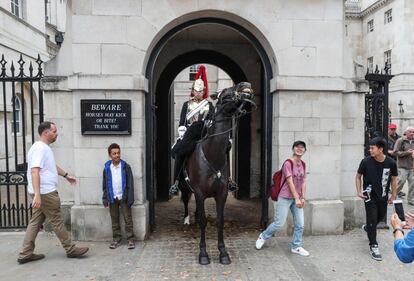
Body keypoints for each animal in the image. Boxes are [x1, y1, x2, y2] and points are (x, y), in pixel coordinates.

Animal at [179, 81, 254, 264]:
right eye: (226, 92)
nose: (245, 84)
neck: (211, 155)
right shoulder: (199, 193)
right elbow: (203, 221)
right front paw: (203, 253)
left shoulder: (222, 193)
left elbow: (220, 221)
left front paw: (223, 252)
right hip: (185, 188)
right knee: (186, 202)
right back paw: (186, 219)